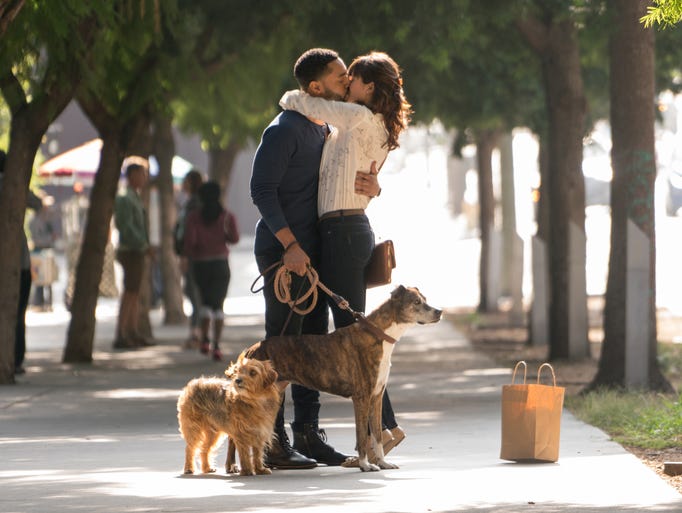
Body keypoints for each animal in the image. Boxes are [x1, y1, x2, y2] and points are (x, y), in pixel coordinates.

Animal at [242, 286, 444, 470]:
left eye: (425, 299)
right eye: (416, 302)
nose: (439, 311)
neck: (378, 334)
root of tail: (251, 350)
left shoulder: (376, 397)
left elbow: (377, 435)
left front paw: (383, 462)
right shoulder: (362, 397)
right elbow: (362, 435)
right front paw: (365, 465)